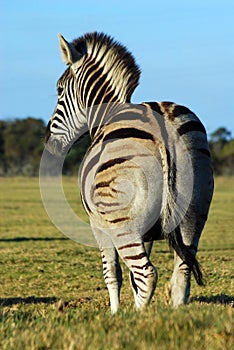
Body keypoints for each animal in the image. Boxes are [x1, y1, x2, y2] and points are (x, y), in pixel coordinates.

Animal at [44, 31, 214, 314]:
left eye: (58, 90)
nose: (49, 143)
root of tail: (163, 123)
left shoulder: (99, 225)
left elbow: (113, 274)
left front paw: (115, 315)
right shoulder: (147, 231)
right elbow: (132, 279)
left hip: (122, 222)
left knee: (147, 274)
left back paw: (136, 320)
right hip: (194, 210)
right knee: (181, 275)